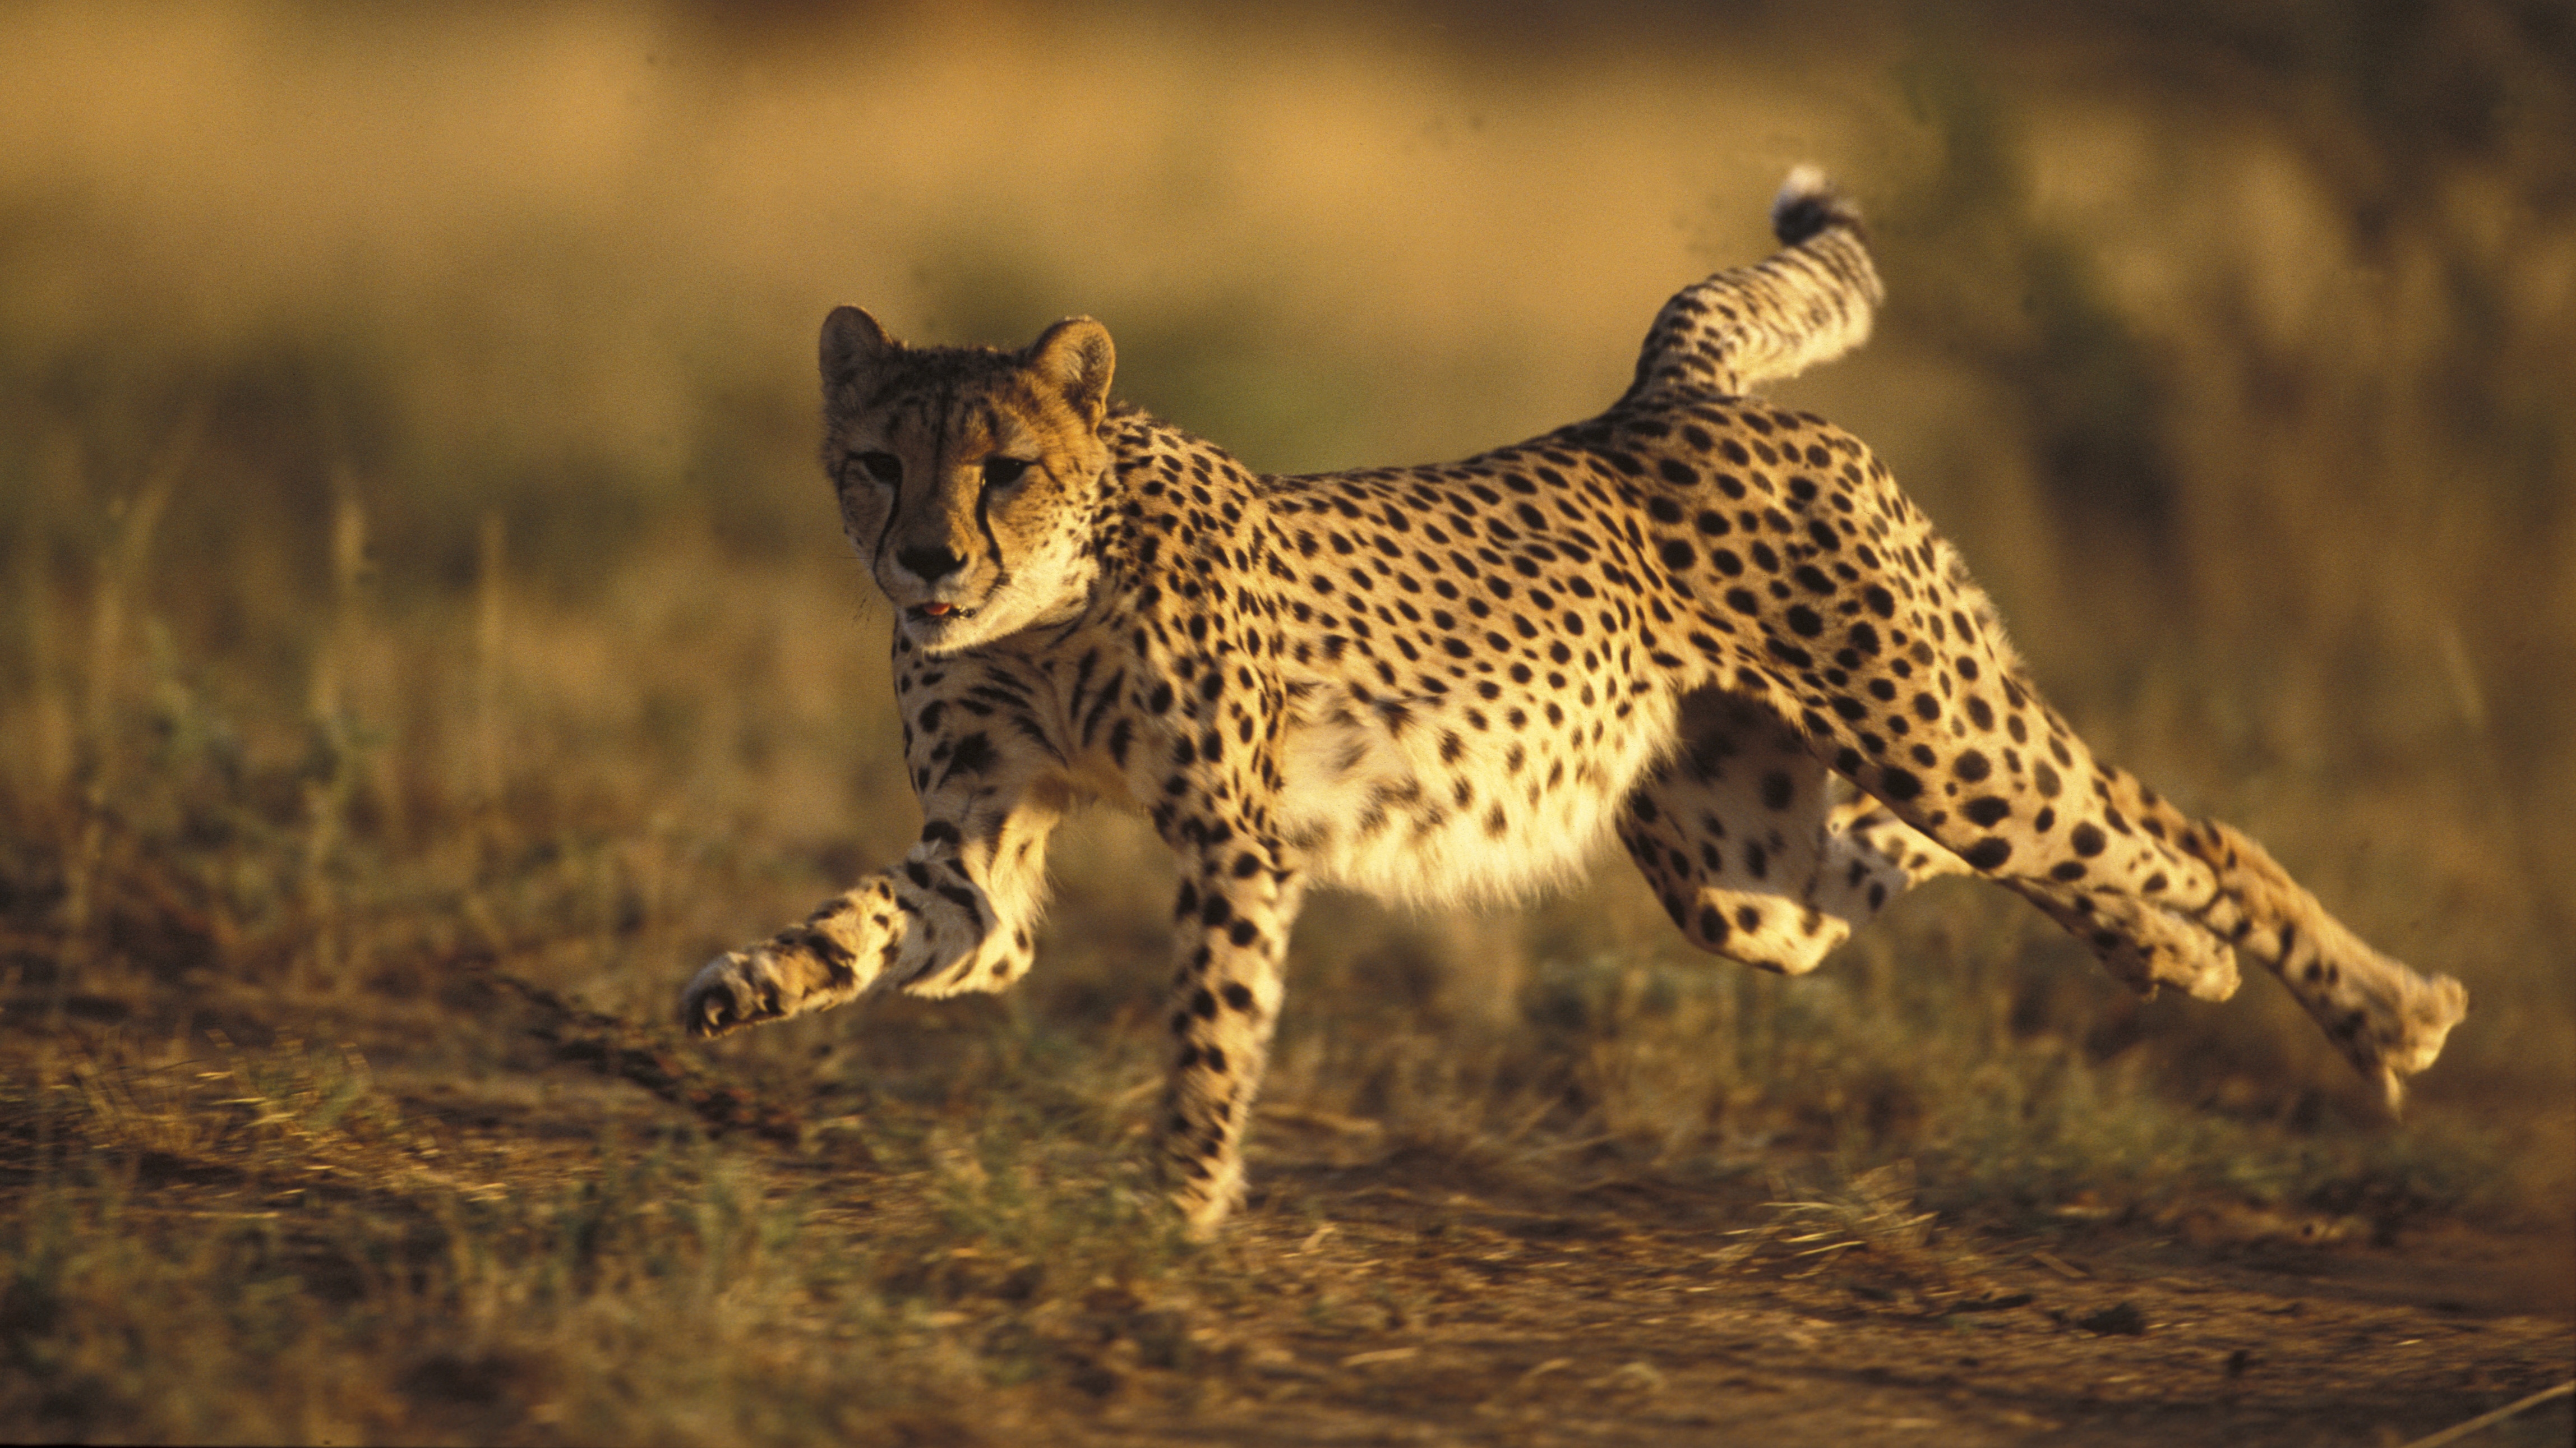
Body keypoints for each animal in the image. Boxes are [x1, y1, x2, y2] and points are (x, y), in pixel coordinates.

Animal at [679, 168, 2468, 1236]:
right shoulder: (986, 859)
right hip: (1745, 874)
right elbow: (885, 923)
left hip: (1939, 727)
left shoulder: (1239, 840)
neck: (1042, 614)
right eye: (875, 459)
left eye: (1002, 467)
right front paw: (746, 979)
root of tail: (1663, 393)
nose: (923, 556)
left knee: (2172, 833)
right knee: (1957, 858)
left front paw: (1179, 1200)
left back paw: (2351, 995)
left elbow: (1210, 1023)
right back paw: (2190, 960)